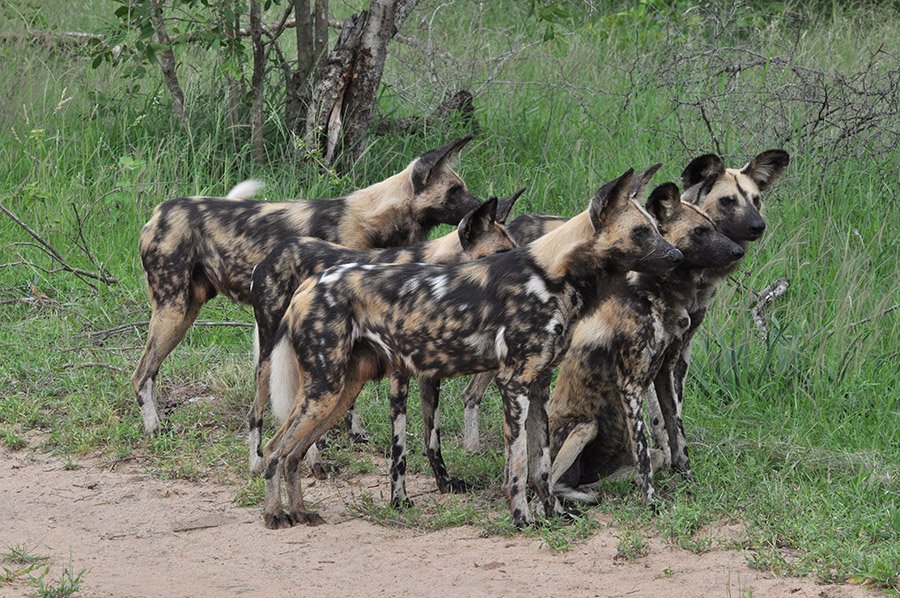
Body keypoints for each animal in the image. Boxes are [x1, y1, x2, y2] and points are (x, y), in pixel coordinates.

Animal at [131, 136, 482, 436]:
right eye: (455, 190)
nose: (482, 207)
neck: (374, 218)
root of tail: (160, 210)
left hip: (185, 312)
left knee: (150, 372)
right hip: (173, 311)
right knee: (140, 375)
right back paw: (153, 428)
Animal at [246, 192, 524, 478]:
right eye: (500, 253)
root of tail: (272, 254)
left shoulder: (429, 375)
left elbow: (432, 439)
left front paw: (444, 479)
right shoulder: (400, 373)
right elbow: (401, 446)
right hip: (271, 360)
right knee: (257, 412)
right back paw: (262, 463)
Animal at [548, 184, 744, 506]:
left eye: (715, 227)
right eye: (700, 231)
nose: (738, 251)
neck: (658, 296)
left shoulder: (665, 375)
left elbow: (677, 438)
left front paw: (689, 481)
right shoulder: (630, 387)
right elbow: (643, 455)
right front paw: (651, 502)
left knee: (613, 475)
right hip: (584, 426)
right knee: (549, 482)